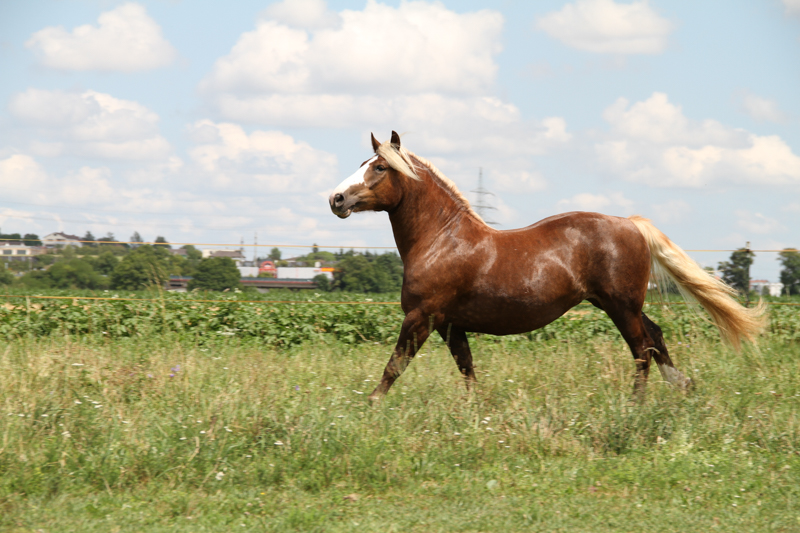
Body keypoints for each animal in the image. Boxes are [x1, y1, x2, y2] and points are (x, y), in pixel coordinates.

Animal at [328, 131, 765, 401]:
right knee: (655, 338)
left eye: (379, 167)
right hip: (620, 304)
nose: (336, 199)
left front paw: (371, 405)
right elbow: (467, 370)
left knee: (642, 349)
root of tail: (631, 224)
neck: (441, 240)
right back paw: (682, 386)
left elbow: (394, 366)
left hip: (621, 306)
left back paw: (636, 406)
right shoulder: (451, 324)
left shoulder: (422, 317)